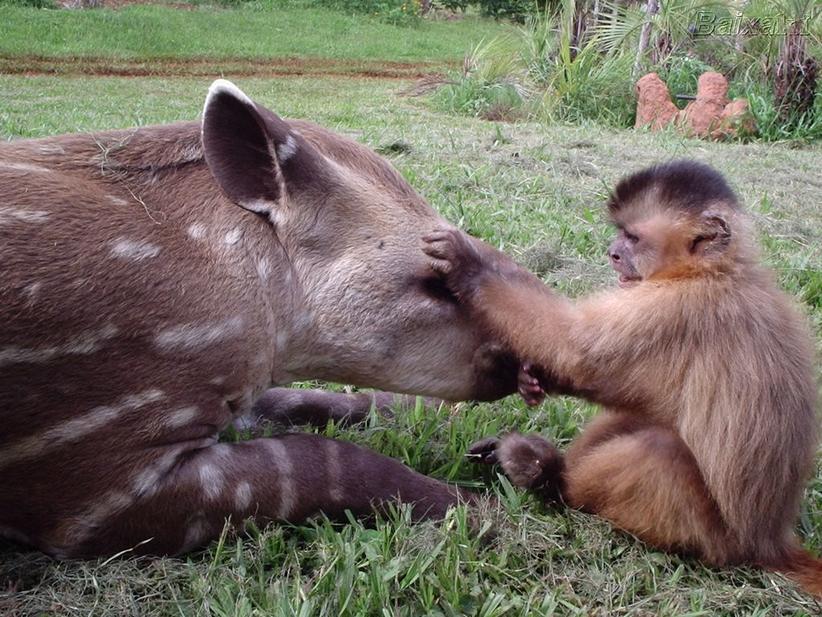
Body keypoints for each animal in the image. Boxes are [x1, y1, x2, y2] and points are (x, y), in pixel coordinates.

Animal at [424, 161, 822, 596]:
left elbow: (576, 351)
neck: (713, 271)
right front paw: (530, 377)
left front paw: (469, 265)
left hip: (713, 536)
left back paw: (552, 483)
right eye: (620, 234)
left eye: (631, 237)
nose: (613, 252)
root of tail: (767, 541)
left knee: (657, 449)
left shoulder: (678, 306)